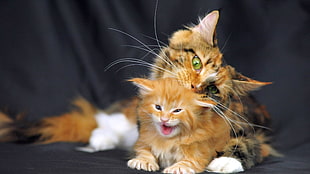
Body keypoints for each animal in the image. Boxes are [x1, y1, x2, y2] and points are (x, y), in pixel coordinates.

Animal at [0, 10, 278, 173]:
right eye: (196, 62)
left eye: (212, 89)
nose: (193, 87)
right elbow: (144, 143)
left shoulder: (255, 134)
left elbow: (247, 145)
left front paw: (224, 161)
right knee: (105, 121)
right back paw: (100, 138)